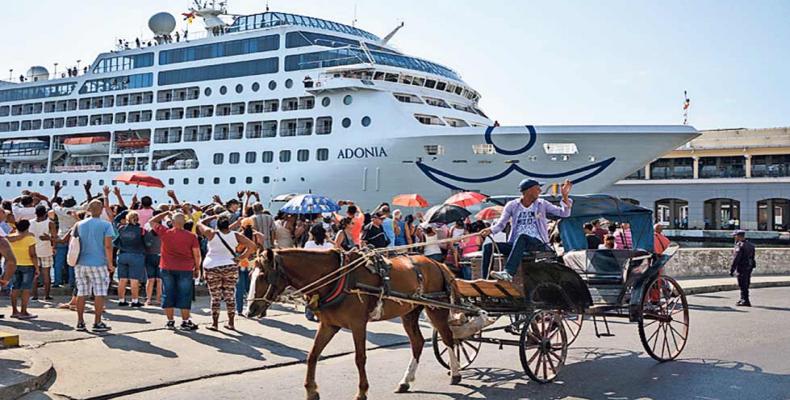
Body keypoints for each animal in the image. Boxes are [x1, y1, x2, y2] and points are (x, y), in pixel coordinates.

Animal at [249, 248, 464, 400]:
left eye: (263, 276)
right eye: (250, 275)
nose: (250, 309)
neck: (337, 276)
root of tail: (437, 263)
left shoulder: (358, 324)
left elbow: (360, 358)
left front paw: (362, 392)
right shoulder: (328, 325)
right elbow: (312, 355)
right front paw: (311, 391)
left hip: (436, 308)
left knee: (448, 338)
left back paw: (455, 373)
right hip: (409, 313)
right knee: (418, 342)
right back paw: (405, 381)